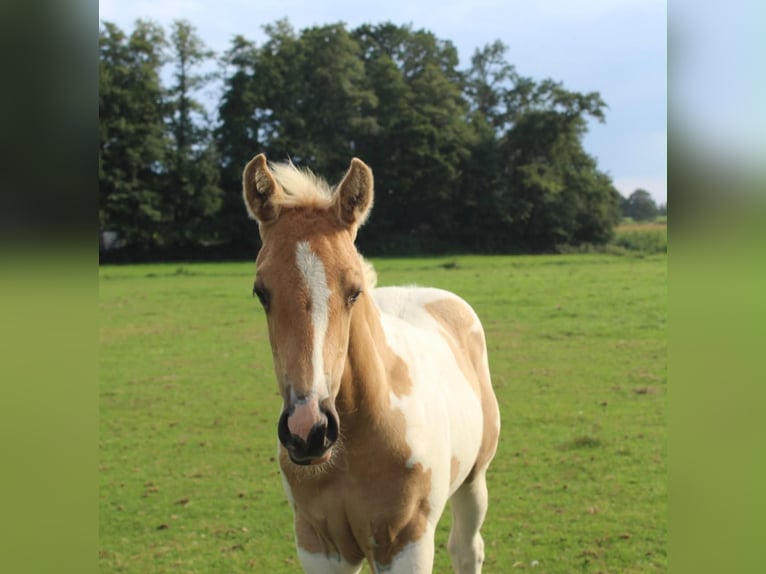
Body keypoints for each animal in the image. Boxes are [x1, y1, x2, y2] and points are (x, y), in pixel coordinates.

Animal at [242, 154, 501, 573]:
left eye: (354, 291)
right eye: (261, 292)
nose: (308, 429)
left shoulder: (406, 543)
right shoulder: (318, 545)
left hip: (474, 480)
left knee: (466, 549)